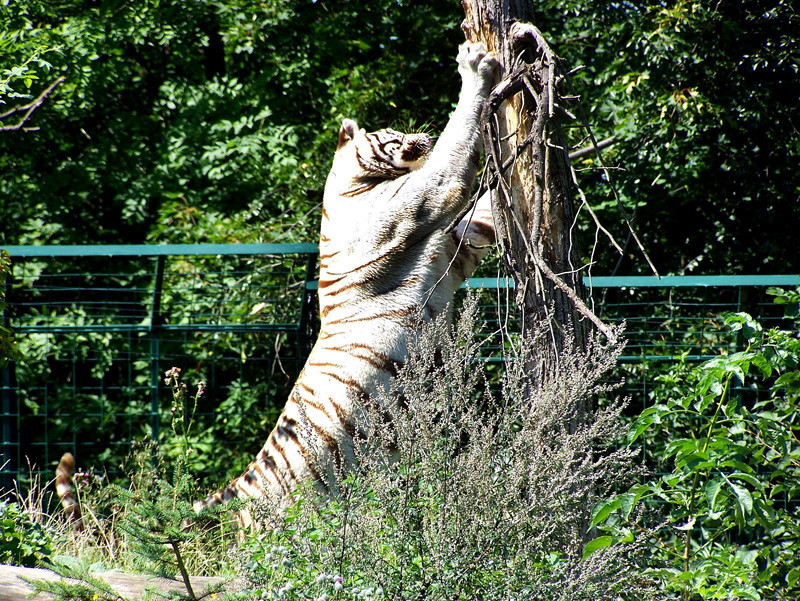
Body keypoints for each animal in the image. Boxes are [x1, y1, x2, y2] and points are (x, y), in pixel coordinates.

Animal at [192, 42, 494, 524]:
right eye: (391, 132)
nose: (422, 137)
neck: (355, 184)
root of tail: (237, 489)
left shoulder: (455, 249)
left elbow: (486, 212)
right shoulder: (422, 199)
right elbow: (454, 151)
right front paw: (478, 67)